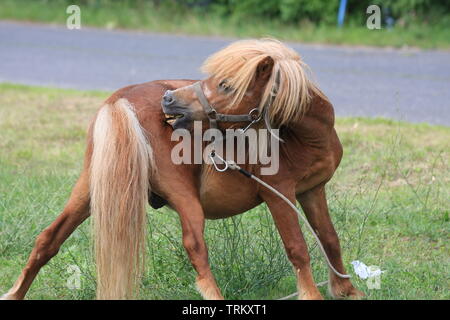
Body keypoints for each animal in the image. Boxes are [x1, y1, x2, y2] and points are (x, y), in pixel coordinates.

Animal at [1, 38, 364, 298]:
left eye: (227, 85)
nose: (169, 101)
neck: (302, 136)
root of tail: (121, 100)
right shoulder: (279, 195)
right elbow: (298, 249)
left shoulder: (312, 191)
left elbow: (329, 238)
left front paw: (347, 290)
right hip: (185, 199)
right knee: (195, 247)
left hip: (91, 190)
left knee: (48, 239)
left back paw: (15, 293)